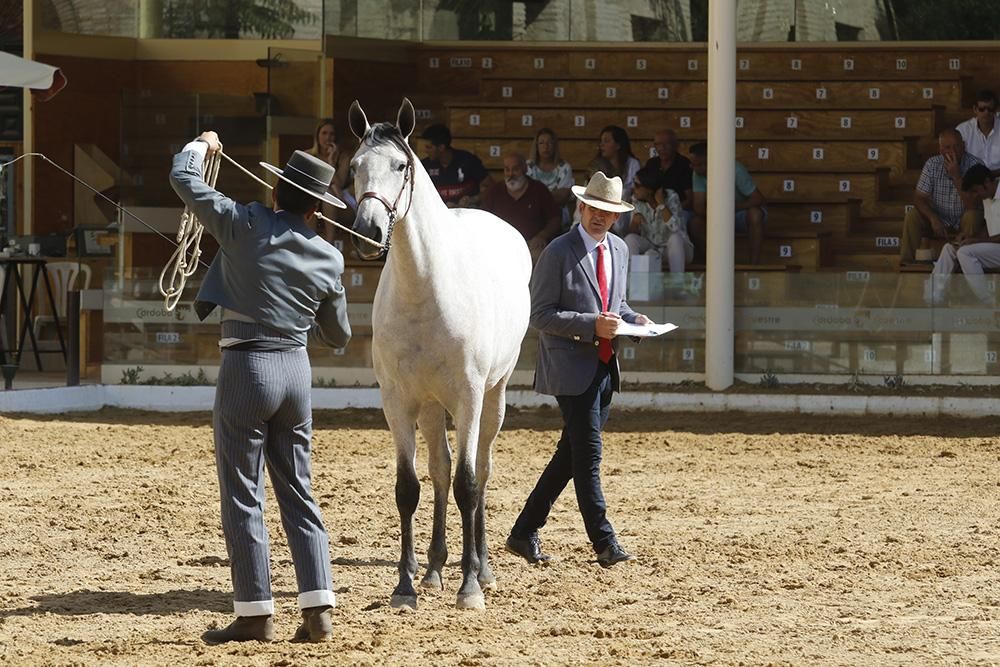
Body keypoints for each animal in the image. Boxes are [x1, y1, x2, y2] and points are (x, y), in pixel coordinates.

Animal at [348, 98, 532, 612]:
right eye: (354, 166)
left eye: (401, 165)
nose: (368, 232)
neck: (425, 290)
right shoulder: (397, 402)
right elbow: (409, 487)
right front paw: (405, 586)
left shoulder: (468, 397)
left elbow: (470, 483)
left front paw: (469, 588)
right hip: (431, 408)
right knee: (440, 470)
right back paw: (432, 570)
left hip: (494, 396)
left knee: (480, 470)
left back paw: (482, 568)